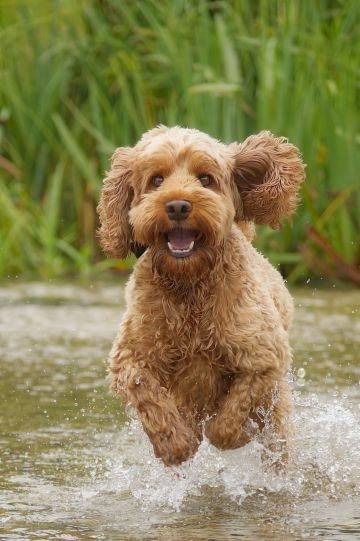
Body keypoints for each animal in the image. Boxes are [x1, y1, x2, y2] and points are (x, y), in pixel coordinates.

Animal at [97, 124, 306, 466]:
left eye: (205, 179)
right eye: (157, 179)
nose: (178, 206)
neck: (190, 285)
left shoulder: (263, 355)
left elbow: (234, 413)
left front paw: (235, 433)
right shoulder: (130, 357)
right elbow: (145, 391)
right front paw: (175, 444)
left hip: (277, 419)